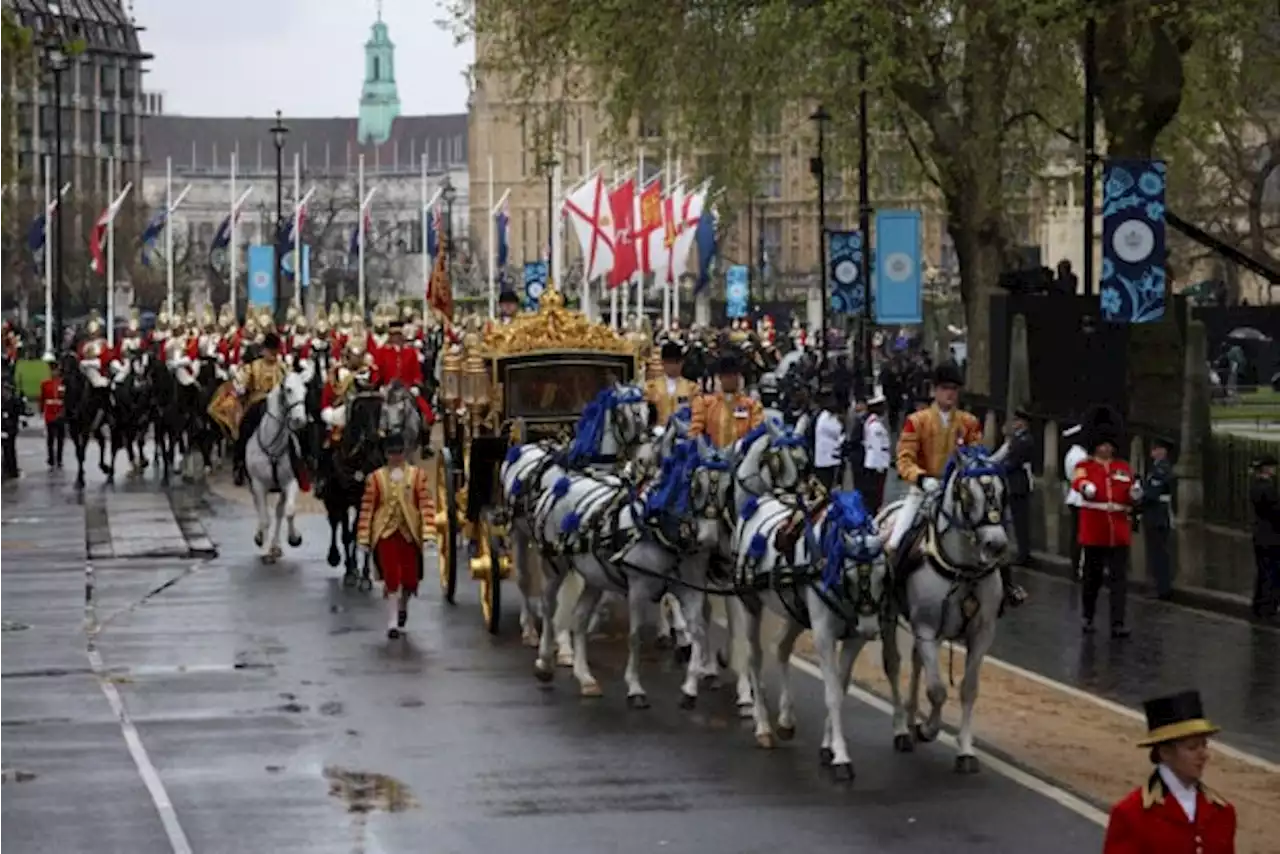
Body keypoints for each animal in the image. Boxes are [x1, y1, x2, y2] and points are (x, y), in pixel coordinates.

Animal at [245, 363, 316, 563]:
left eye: (305, 391)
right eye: (289, 389)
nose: (299, 421)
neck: (273, 446)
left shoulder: (290, 482)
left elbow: (289, 512)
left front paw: (294, 538)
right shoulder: (258, 485)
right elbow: (264, 518)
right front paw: (263, 546)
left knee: (279, 512)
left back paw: (275, 546)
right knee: (260, 510)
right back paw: (262, 539)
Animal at [732, 483, 890, 778]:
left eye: (884, 575)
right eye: (850, 576)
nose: (870, 629)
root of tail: (759, 500)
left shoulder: (853, 640)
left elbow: (840, 688)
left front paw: (829, 746)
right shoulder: (823, 635)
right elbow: (832, 694)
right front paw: (841, 756)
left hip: (795, 611)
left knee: (781, 647)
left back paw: (785, 719)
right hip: (750, 603)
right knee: (754, 657)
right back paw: (763, 726)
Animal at [875, 448, 1013, 773]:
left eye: (1003, 491)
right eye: (967, 494)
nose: (996, 545)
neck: (963, 569)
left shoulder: (981, 633)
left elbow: (968, 689)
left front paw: (965, 750)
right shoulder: (926, 628)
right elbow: (937, 689)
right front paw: (928, 729)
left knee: (916, 662)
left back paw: (911, 715)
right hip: (890, 615)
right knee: (894, 663)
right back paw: (902, 729)